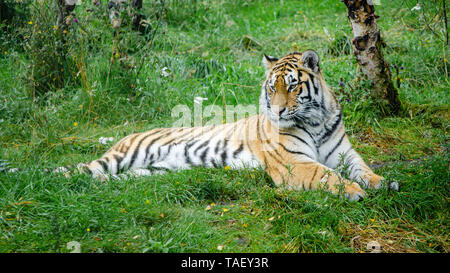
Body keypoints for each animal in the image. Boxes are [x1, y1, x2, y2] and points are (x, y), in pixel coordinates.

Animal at [59, 50, 398, 200]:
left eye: (291, 86)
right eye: (272, 88)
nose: (277, 111)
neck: (315, 120)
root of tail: (126, 136)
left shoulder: (343, 153)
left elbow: (362, 168)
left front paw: (382, 182)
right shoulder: (294, 162)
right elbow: (325, 175)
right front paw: (353, 191)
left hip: (152, 172)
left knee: (115, 178)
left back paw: (105, 184)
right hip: (126, 155)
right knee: (82, 170)